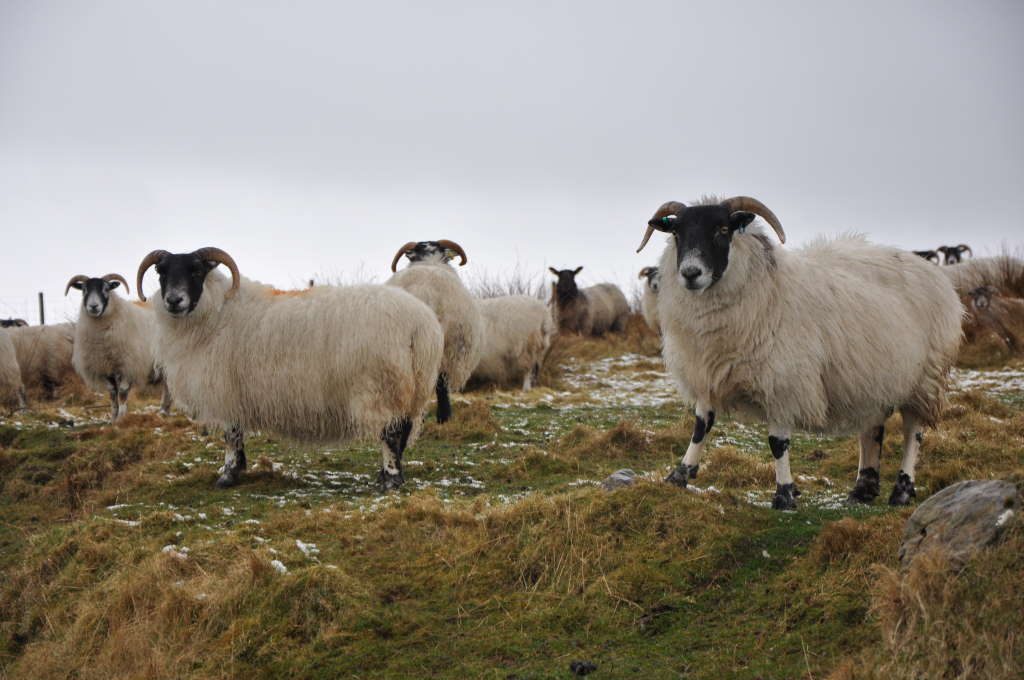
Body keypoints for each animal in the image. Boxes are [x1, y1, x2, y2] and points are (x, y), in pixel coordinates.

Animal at [65, 273, 171, 422]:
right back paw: (164, 411)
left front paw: (121, 418)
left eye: (106, 289)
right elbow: (112, 394)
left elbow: (122, 394)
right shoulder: (106, 368)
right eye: (84, 290)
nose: (93, 306)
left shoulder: (127, 366)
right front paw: (113, 418)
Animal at [136, 247, 444, 490]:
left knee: (391, 434)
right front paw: (238, 469)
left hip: (383, 385)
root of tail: (421, 324)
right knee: (402, 431)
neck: (217, 312)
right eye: (161, 272)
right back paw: (388, 475)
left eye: (197, 270)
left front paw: (228, 475)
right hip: (411, 386)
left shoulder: (227, 389)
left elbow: (231, 435)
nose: (173, 300)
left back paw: (390, 480)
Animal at [636, 195, 963, 510]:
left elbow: (777, 442)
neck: (764, 289)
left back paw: (902, 491)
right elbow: (701, 427)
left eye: (723, 230)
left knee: (913, 433)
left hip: (925, 378)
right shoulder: (707, 372)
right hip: (871, 375)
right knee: (872, 429)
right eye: (677, 233)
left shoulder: (783, 382)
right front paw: (678, 475)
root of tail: (938, 276)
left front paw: (784, 495)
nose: (690, 273)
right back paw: (863, 490)